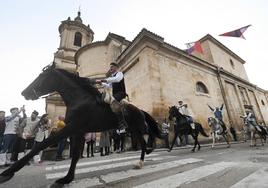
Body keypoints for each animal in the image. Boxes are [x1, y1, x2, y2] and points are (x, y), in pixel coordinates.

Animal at [0, 63, 161, 185]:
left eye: (42, 77)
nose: (24, 93)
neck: (79, 99)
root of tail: (140, 110)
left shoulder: (71, 128)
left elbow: (41, 145)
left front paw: (8, 172)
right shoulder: (78, 131)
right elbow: (76, 154)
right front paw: (67, 178)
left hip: (138, 127)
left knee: (150, 134)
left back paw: (148, 152)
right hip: (134, 130)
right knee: (144, 142)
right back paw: (142, 160)